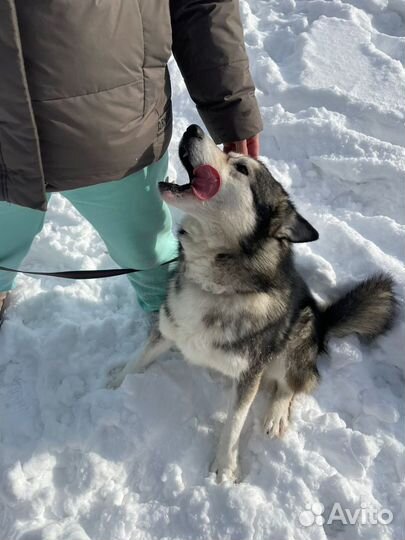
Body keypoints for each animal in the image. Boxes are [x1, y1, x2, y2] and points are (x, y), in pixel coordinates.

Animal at [109, 125, 396, 480]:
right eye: (228, 152)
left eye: (242, 168)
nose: (193, 128)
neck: (214, 284)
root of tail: (322, 322)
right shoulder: (167, 330)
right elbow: (139, 359)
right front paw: (117, 382)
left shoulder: (250, 374)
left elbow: (234, 422)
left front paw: (224, 466)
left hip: (297, 337)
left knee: (297, 383)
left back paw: (276, 415)